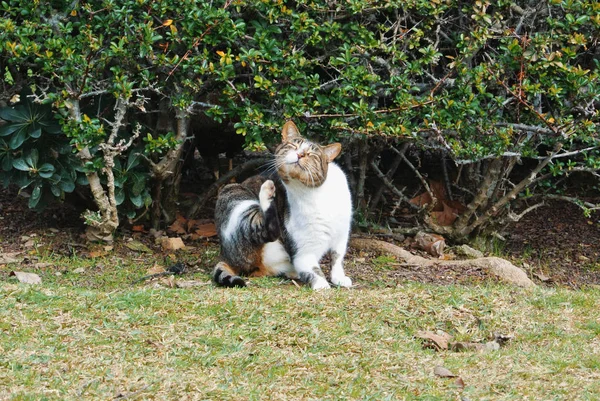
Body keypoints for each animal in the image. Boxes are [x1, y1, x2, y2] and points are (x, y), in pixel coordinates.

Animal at [212, 120, 354, 290]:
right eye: (293, 146)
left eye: (312, 154)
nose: (300, 154)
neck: (315, 193)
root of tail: (225, 256)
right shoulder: (303, 252)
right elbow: (313, 270)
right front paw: (322, 285)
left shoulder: (341, 236)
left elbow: (337, 258)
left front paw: (339, 277)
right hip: (234, 195)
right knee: (266, 230)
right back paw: (267, 191)